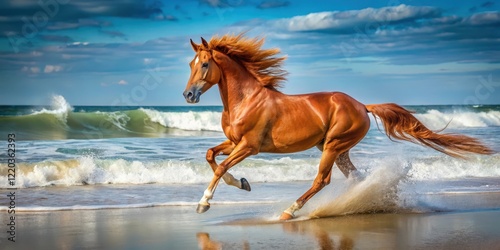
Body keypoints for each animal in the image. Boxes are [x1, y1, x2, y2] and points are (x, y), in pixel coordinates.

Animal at [183, 33, 492, 221]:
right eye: (190, 64)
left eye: (205, 64)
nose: (188, 95)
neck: (247, 100)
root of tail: (362, 105)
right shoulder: (235, 143)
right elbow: (211, 156)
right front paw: (243, 183)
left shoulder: (250, 146)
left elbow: (221, 167)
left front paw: (204, 203)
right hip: (339, 149)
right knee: (355, 178)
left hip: (333, 146)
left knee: (322, 180)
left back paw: (289, 211)